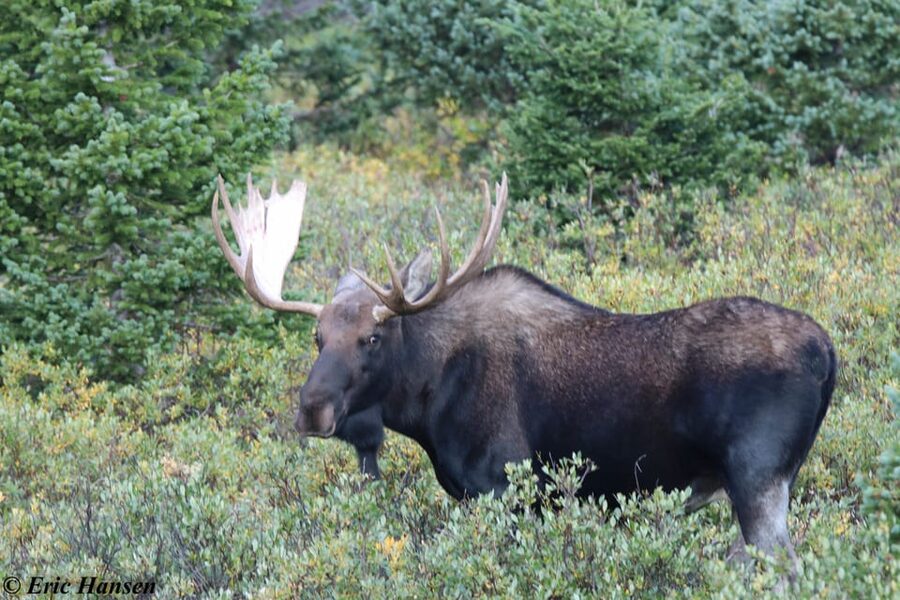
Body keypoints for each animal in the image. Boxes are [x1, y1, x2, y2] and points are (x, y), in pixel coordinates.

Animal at [211, 172, 836, 568]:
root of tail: (827, 352)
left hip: (757, 475)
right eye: (317, 337)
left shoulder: (505, 488)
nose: (312, 410)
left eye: (372, 337)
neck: (427, 401)